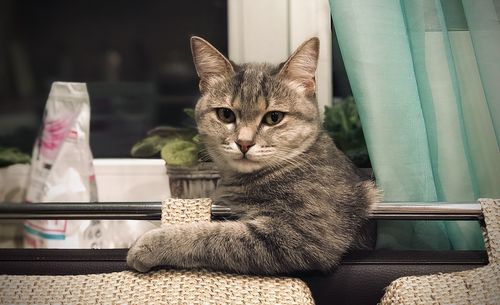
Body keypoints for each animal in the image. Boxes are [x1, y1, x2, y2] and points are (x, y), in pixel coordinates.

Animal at [127, 36, 376, 274]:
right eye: (226, 114)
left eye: (274, 117)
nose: (244, 143)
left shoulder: (303, 234)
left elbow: (212, 236)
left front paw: (149, 244)